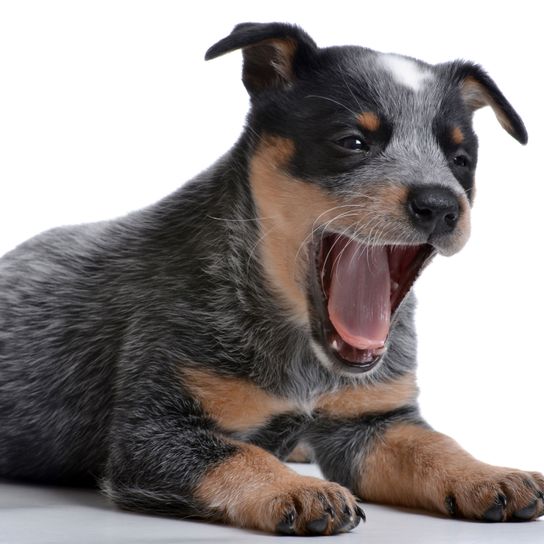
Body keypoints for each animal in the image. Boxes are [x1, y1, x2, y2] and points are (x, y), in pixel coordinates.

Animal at [1, 22, 544, 536]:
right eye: (352, 142)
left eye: (461, 159)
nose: (440, 204)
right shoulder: (153, 431)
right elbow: (239, 454)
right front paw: (299, 491)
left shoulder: (374, 420)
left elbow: (434, 445)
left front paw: (489, 473)